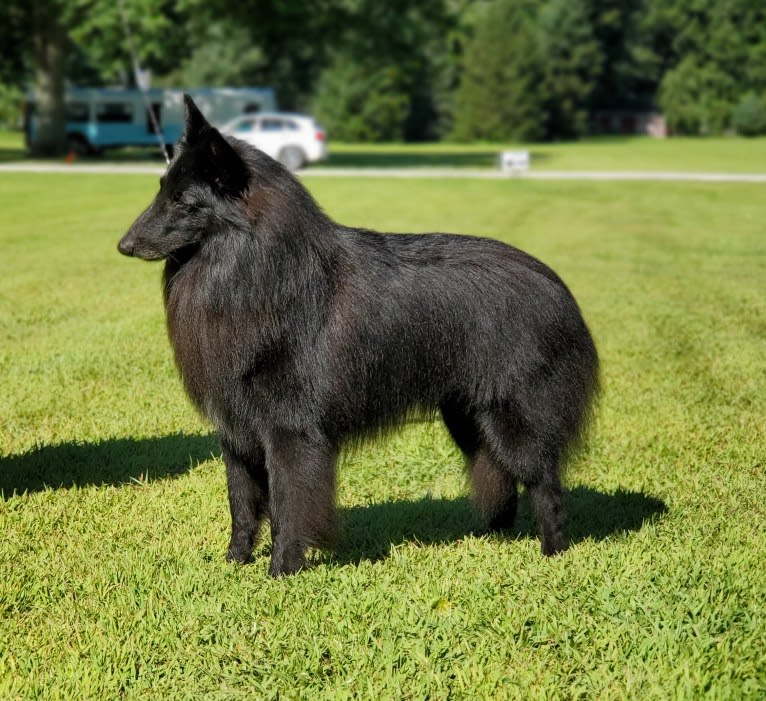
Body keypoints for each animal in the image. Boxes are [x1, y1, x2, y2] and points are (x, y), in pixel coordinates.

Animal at [118, 94, 600, 576]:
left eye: (183, 201)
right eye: (161, 188)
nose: (123, 245)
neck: (252, 271)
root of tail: (557, 288)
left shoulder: (289, 433)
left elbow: (288, 507)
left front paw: (281, 570)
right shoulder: (237, 434)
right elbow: (242, 506)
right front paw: (235, 563)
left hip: (513, 420)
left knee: (546, 487)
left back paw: (551, 553)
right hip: (467, 418)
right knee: (503, 478)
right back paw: (493, 538)